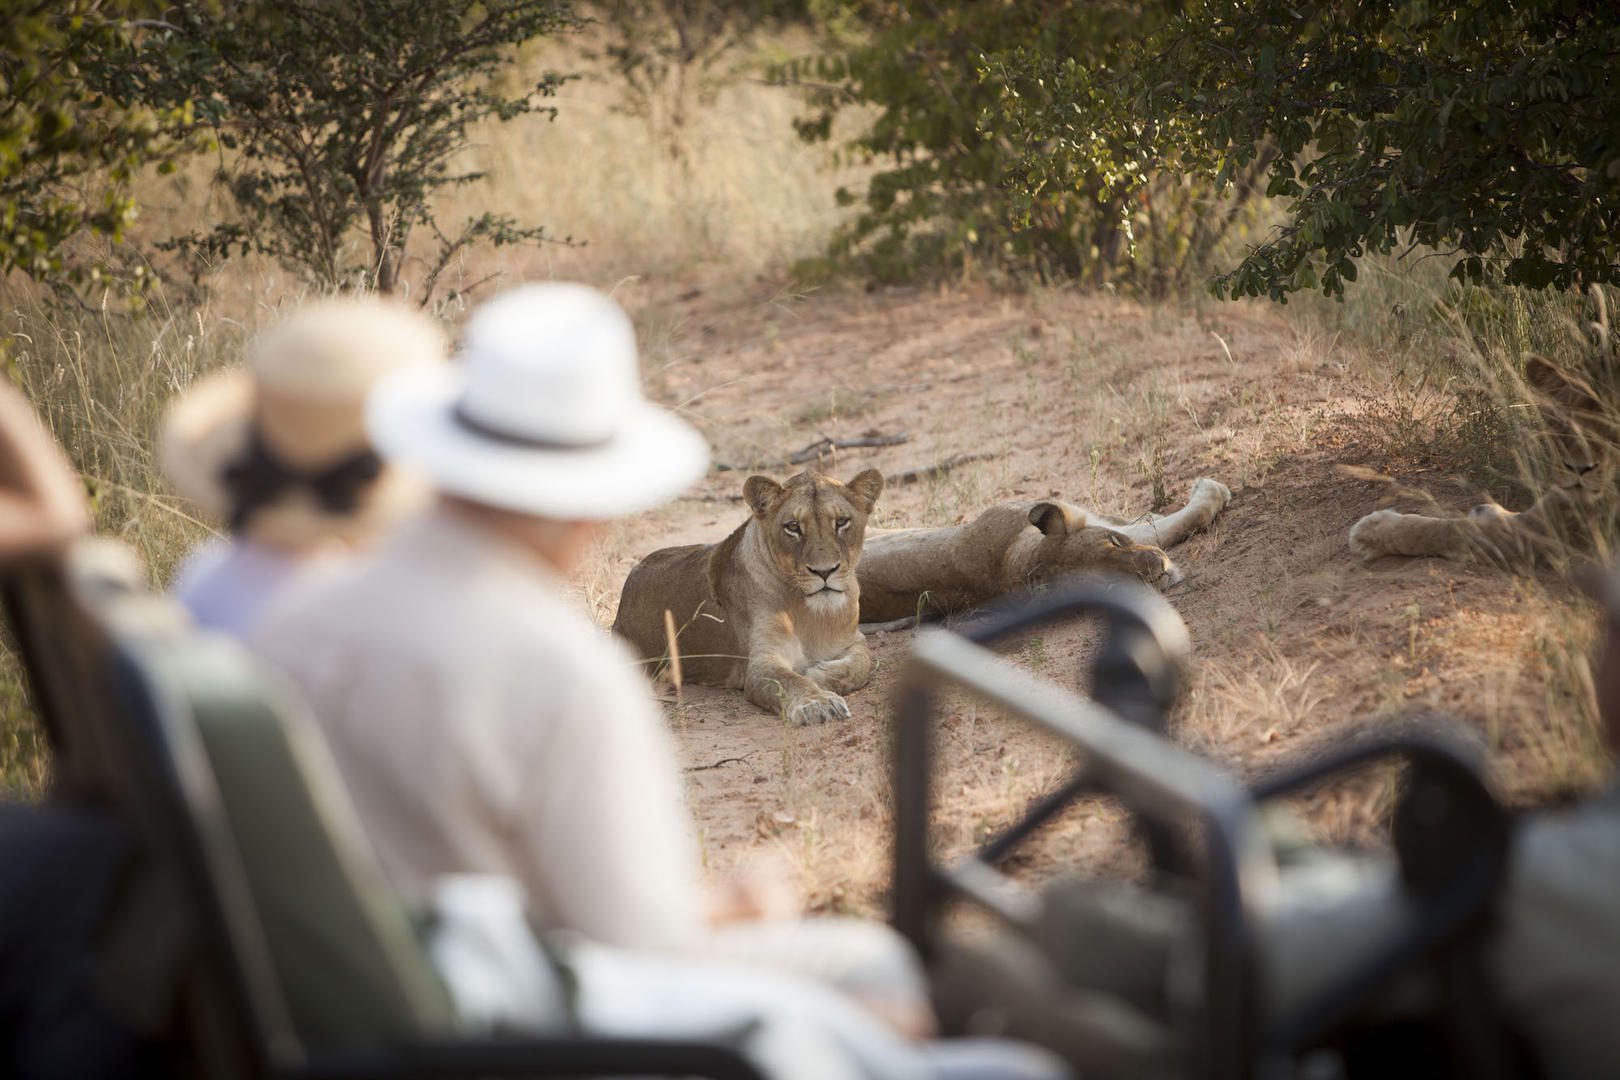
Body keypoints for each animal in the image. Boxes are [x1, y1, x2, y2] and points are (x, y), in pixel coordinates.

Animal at [609, 466, 887, 725]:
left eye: (841, 522)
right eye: (793, 527)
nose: (824, 571)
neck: (811, 613)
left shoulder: (853, 640)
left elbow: (861, 665)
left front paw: (817, 675)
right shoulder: (761, 662)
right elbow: (789, 681)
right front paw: (817, 702)